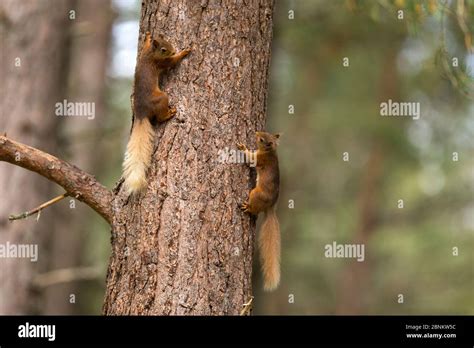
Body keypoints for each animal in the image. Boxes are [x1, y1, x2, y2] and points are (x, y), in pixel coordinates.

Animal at [237, 131, 282, 290]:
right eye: (264, 134)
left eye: (262, 139)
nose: (255, 133)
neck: (270, 151)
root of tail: (271, 207)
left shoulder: (260, 159)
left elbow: (251, 159)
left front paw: (242, 147)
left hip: (255, 193)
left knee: (254, 209)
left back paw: (248, 208)